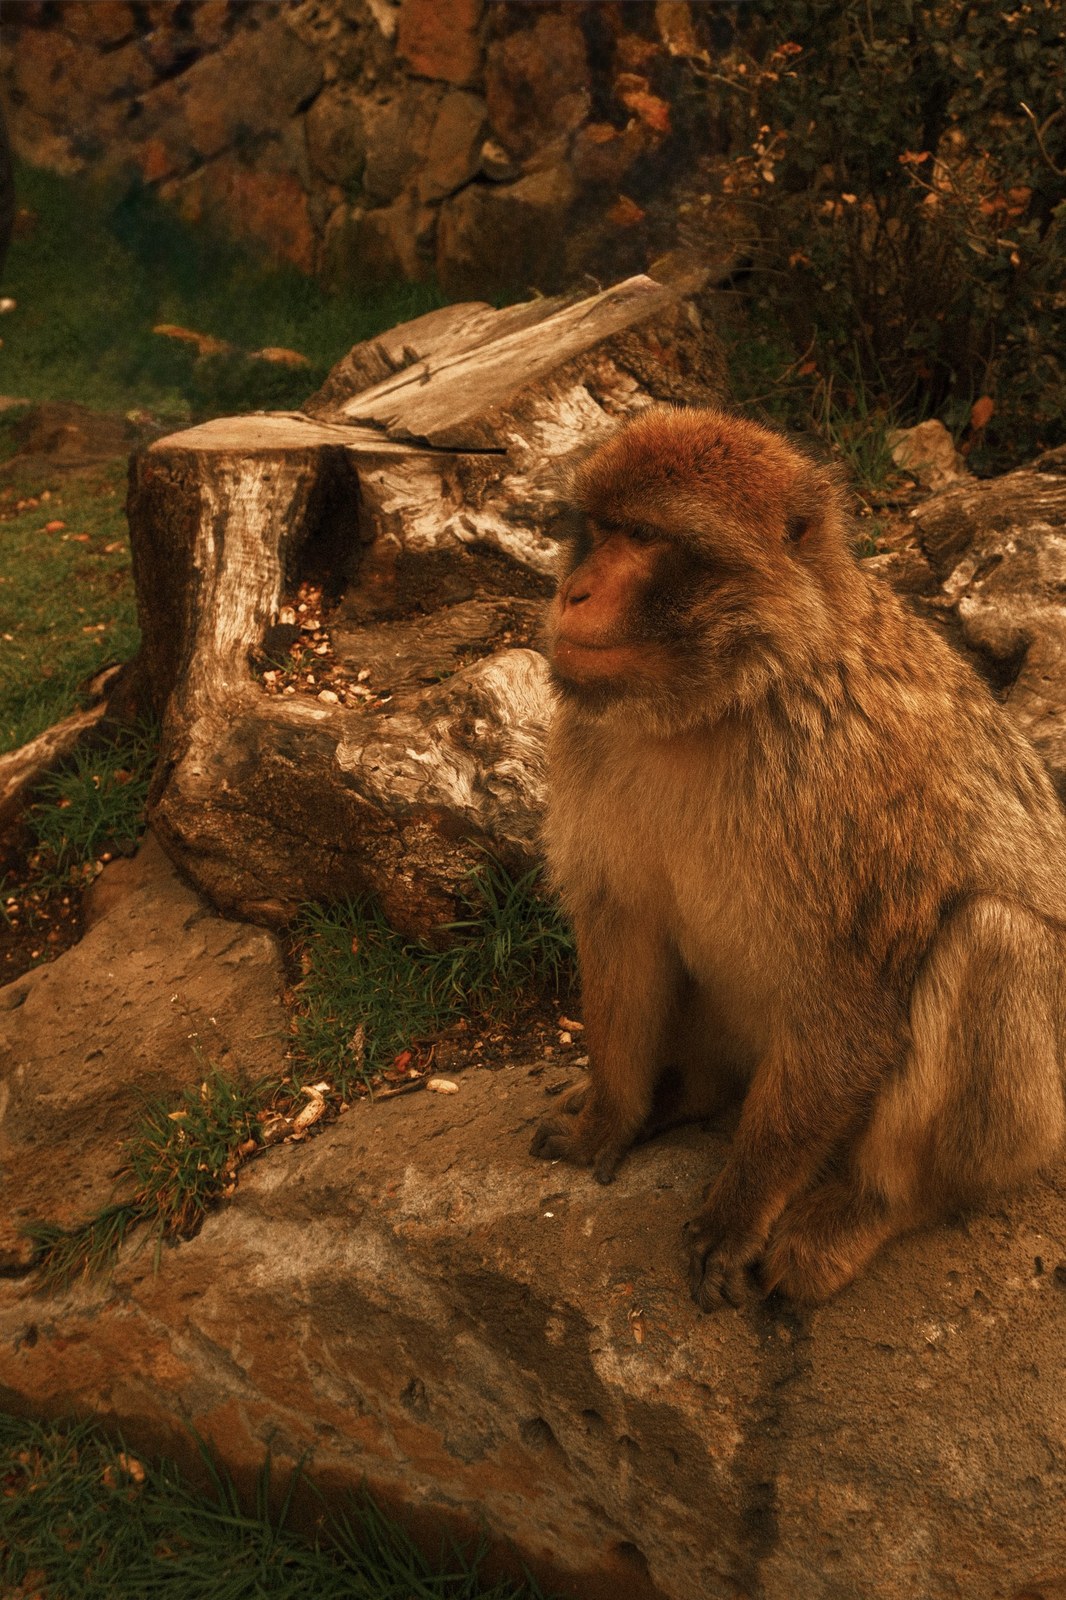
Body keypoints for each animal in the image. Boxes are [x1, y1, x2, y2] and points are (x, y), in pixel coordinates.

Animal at [529, 405, 1066, 1310]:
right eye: (597, 530)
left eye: (645, 537)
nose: (574, 592)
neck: (726, 703)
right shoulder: (592, 741)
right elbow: (623, 929)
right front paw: (611, 1114)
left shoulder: (852, 786)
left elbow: (846, 997)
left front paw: (739, 1210)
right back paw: (685, 1093)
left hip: (1037, 1116)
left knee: (995, 935)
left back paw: (871, 1206)